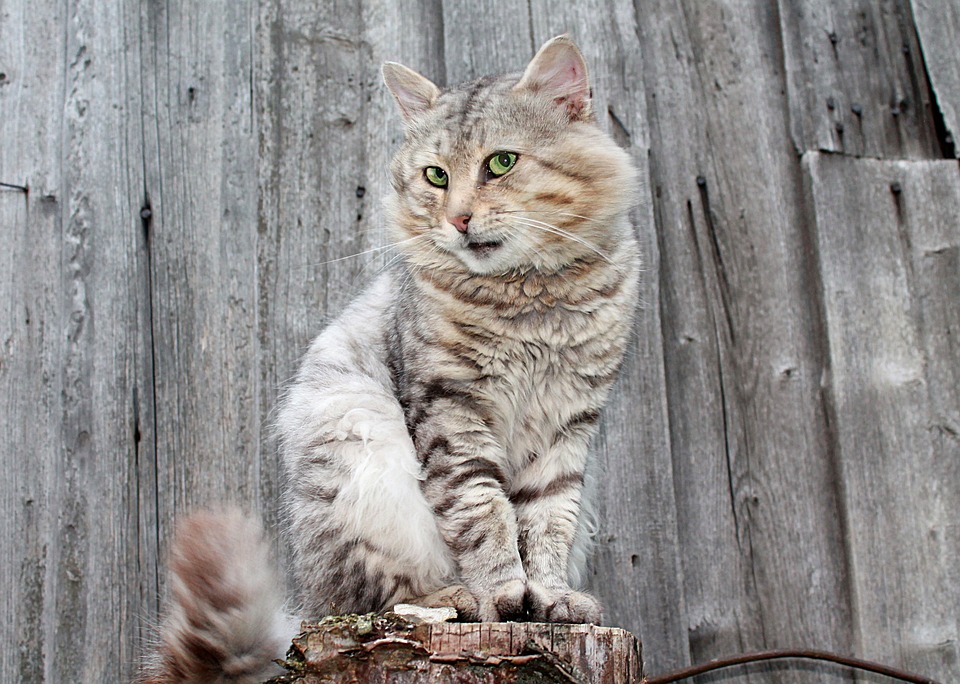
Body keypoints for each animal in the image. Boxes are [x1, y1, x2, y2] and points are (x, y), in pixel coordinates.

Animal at [142, 36, 636, 684]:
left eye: (501, 163)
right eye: (436, 176)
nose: (458, 219)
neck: (529, 299)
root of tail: (306, 606)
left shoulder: (567, 426)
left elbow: (547, 525)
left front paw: (550, 600)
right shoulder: (452, 411)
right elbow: (485, 514)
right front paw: (504, 594)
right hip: (362, 448)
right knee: (382, 597)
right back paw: (457, 599)